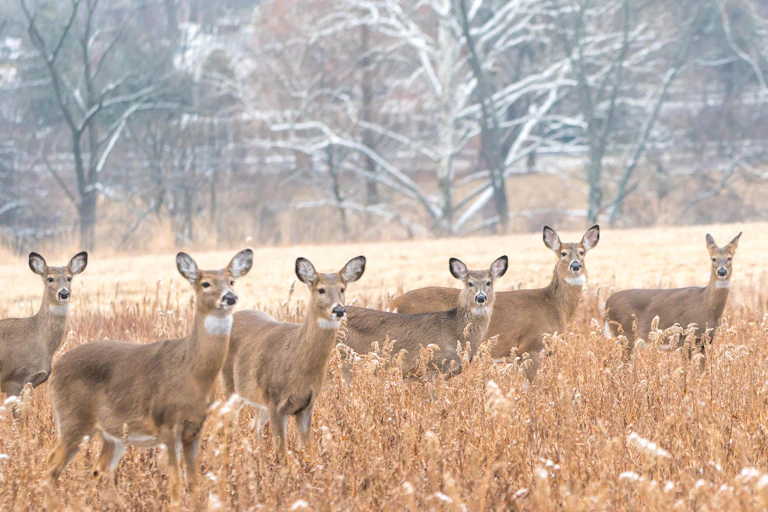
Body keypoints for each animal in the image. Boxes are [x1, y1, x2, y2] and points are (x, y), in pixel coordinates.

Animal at [45, 249, 253, 509]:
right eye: (205, 283)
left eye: (232, 281)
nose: (230, 297)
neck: (192, 372)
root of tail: (56, 368)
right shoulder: (168, 424)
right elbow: (175, 483)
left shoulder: (195, 428)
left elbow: (194, 482)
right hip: (73, 419)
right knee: (52, 467)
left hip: (113, 433)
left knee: (99, 470)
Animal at [221, 256, 366, 460]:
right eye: (321, 289)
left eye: (342, 289)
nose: (339, 310)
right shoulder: (275, 402)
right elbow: (281, 452)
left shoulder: (306, 405)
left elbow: (307, 449)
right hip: (231, 386)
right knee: (228, 423)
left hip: (257, 397)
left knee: (253, 426)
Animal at [388, 226, 600, 382]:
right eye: (563, 253)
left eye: (582, 252)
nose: (575, 266)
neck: (554, 305)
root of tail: (394, 303)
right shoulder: (531, 346)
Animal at [605, 232, 741, 352]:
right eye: (713, 259)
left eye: (729, 258)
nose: (722, 271)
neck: (706, 306)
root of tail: (606, 304)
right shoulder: (683, 339)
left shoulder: (705, 342)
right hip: (625, 334)